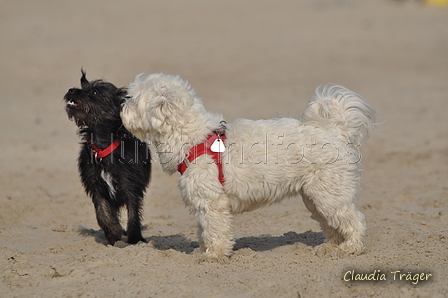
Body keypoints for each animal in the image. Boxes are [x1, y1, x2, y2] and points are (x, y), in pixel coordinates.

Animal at [65, 70, 151, 244]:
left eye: (94, 92)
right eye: (83, 86)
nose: (71, 90)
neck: (103, 147)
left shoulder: (130, 184)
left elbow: (133, 213)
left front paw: (134, 238)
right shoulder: (96, 187)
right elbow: (102, 212)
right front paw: (113, 232)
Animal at [121, 73, 376, 264]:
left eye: (132, 99)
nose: (121, 107)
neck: (194, 137)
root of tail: (334, 130)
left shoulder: (213, 203)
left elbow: (215, 230)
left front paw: (214, 256)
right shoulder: (203, 203)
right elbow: (203, 230)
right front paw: (202, 251)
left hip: (330, 194)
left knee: (354, 220)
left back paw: (351, 248)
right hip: (315, 197)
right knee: (331, 224)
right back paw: (329, 247)